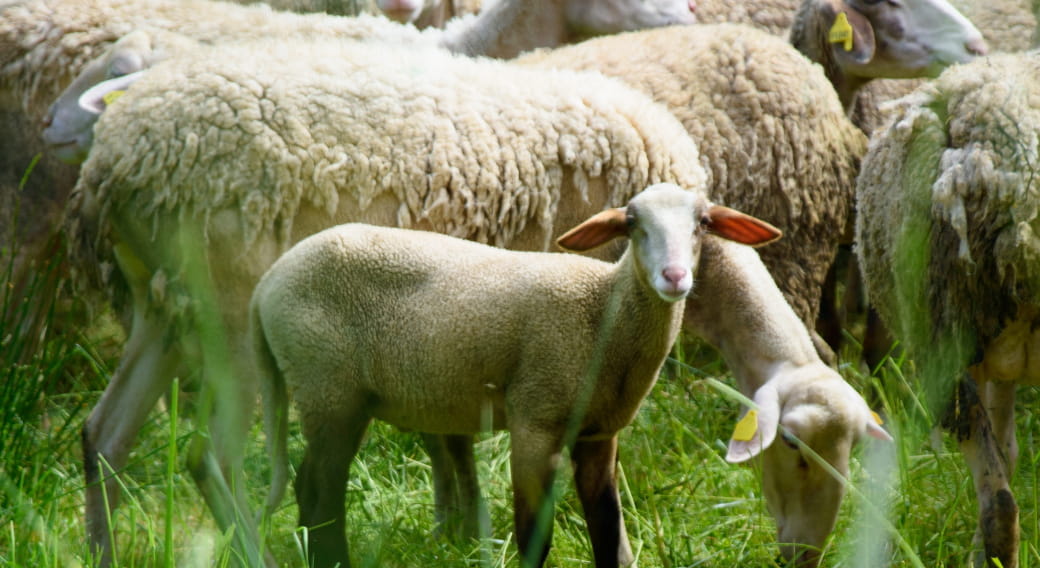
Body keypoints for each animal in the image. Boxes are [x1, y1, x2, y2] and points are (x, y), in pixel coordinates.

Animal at [65, 37, 715, 561]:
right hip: (228, 314)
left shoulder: (452, 349)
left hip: (165, 307)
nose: (675, 277)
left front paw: (458, 531)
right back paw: (255, 555)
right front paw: (463, 529)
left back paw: (102, 552)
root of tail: (112, 161)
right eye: (638, 228)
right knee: (213, 458)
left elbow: (453, 443)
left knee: (105, 436)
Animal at [251, 183, 782, 561]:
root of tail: (268, 282)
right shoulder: (535, 419)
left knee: (311, 488)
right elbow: (533, 537)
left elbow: (606, 531)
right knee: (318, 491)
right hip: (328, 388)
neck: (603, 315)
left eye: (703, 223)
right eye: (632, 224)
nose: (674, 278)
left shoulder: (599, 434)